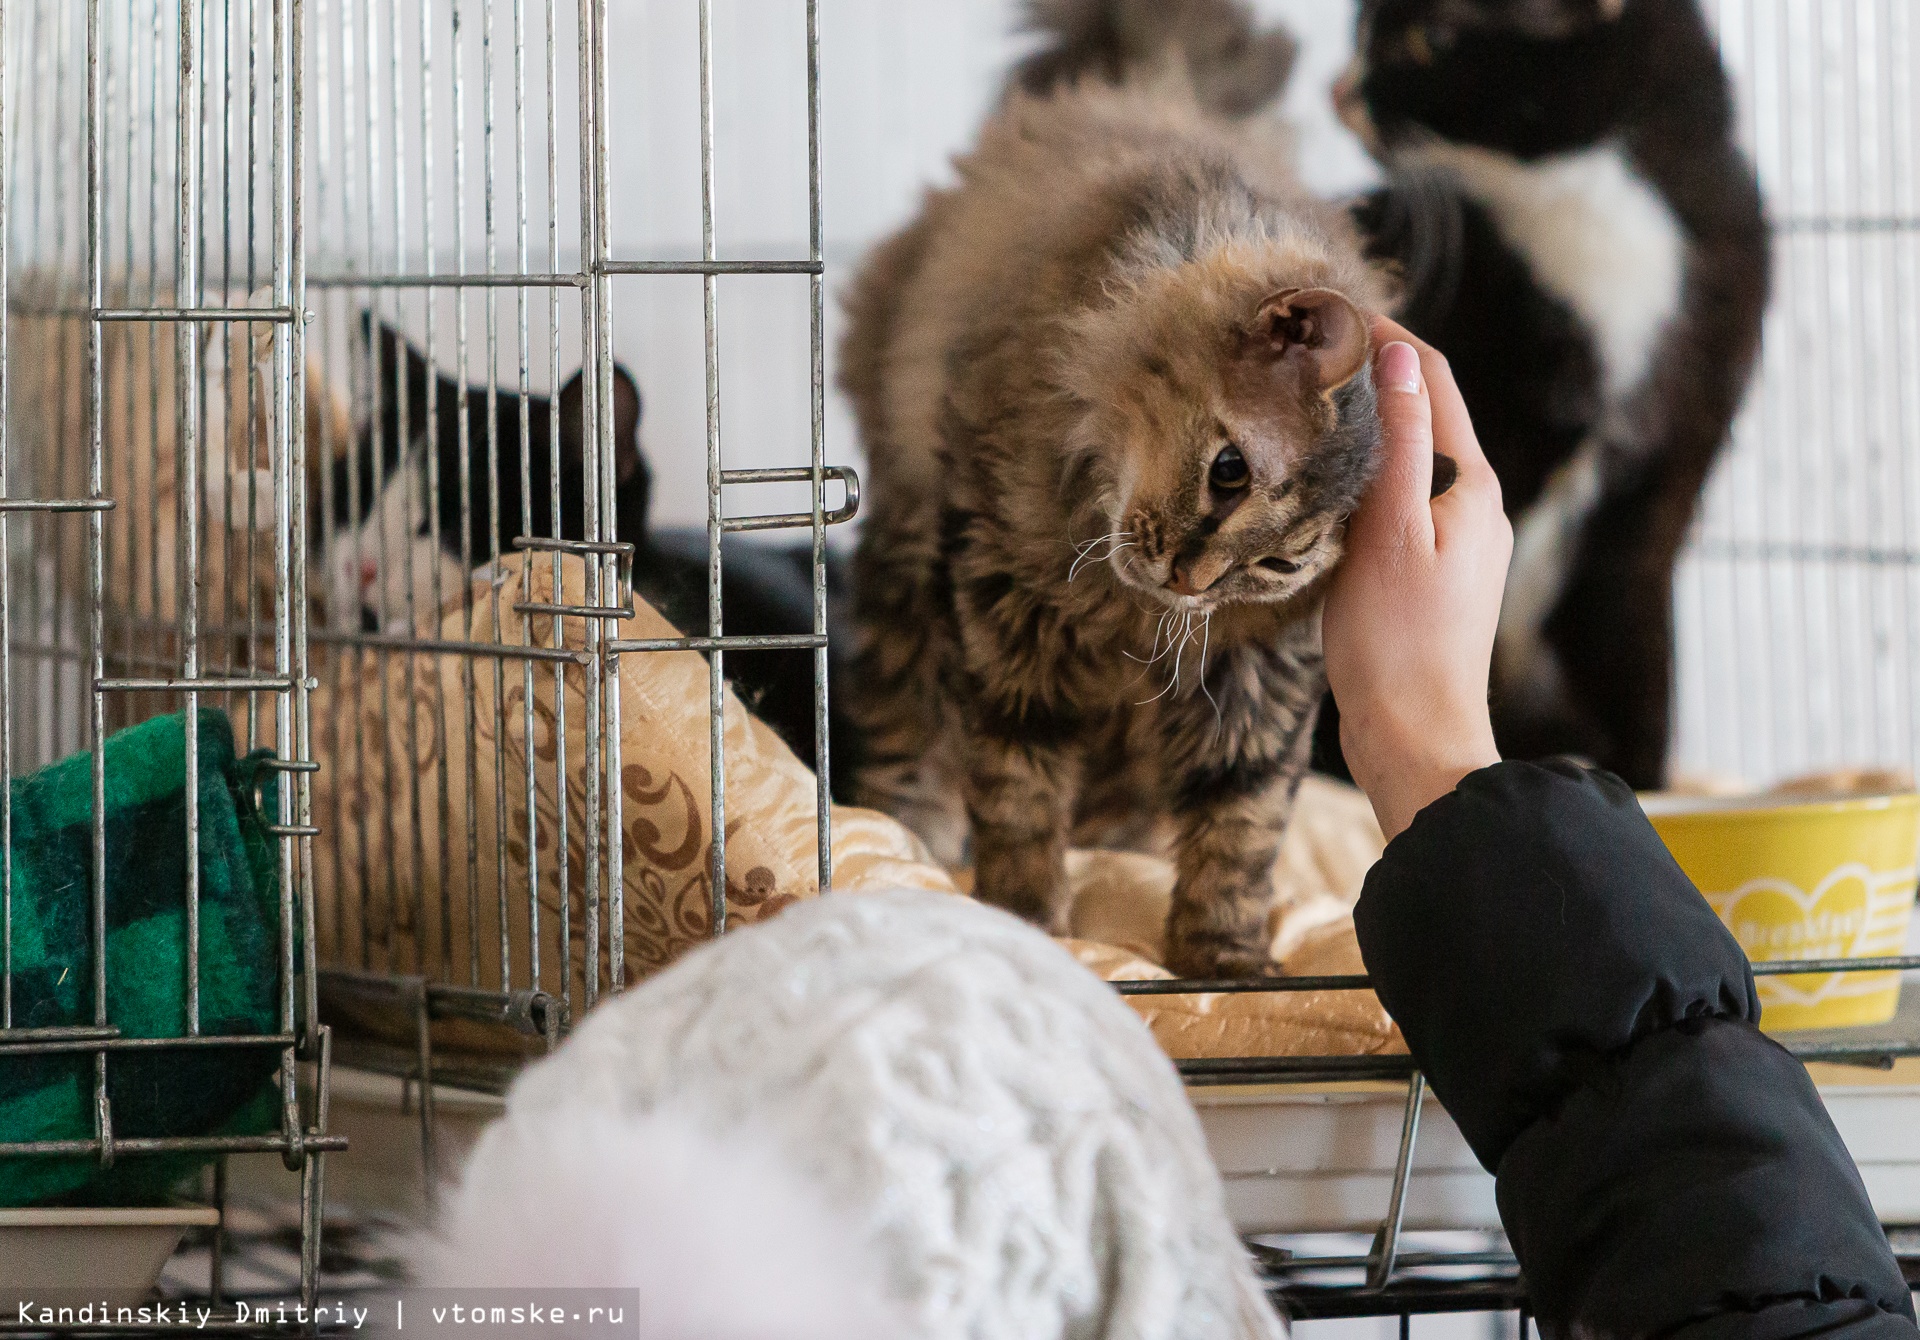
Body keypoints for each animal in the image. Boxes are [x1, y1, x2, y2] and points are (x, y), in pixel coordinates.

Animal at [840, 5, 1382, 975]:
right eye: (1229, 471)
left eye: (1280, 566)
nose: (1192, 582)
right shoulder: (1003, 611)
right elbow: (1017, 788)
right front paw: (1027, 917)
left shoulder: (1257, 672)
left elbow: (1240, 823)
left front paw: (1224, 959)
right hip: (907, 564)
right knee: (907, 741)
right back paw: (909, 840)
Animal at [1320, 0, 1766, 783]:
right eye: (1361, 30)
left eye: (1427, 39)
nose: (1336, 89)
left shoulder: (1670, 458)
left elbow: (1631, 622)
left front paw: (1645, 781)